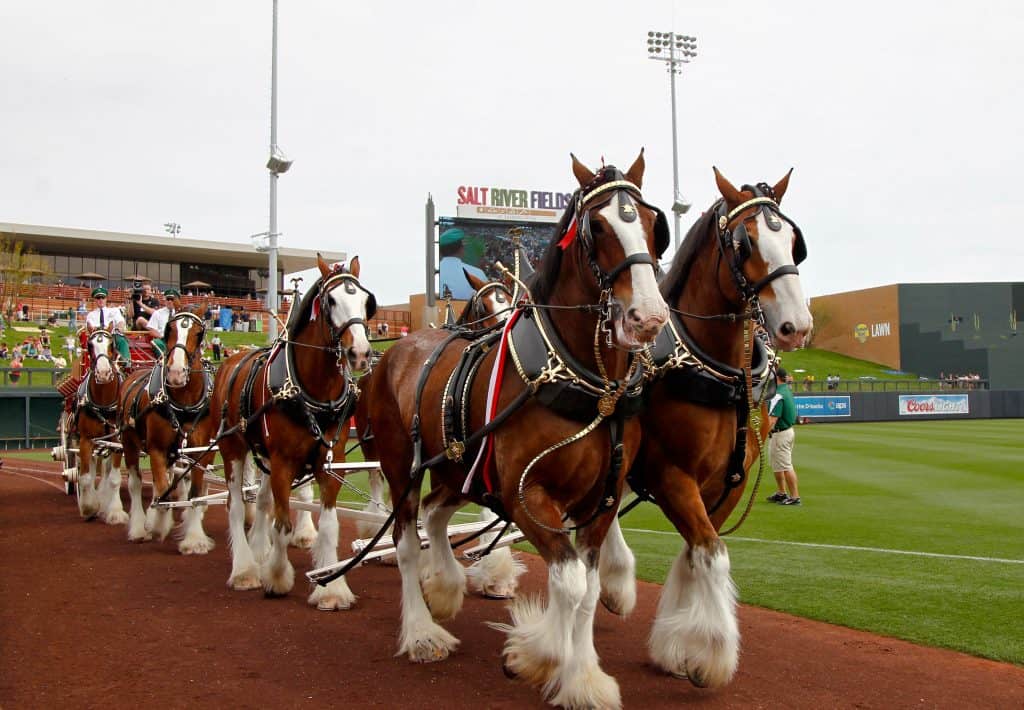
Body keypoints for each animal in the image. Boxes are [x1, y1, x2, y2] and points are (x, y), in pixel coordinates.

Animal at [117, 307, 214, 549]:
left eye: (198, 333)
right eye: (169, 329)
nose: (176, 373)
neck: (184, 402)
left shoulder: (199, 451)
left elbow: (195, 494)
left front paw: (194, 539)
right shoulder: (157, 448)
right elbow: (163, 490)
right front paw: (158, 525)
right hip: (129, 443)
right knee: (135, 483)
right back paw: (139, 527)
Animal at [207, 255, 372, 610]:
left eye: (366, 301)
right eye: (331, 300)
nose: (361, 354)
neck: (312, 392)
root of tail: (231, 360)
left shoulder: (331, 462)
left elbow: (328, 526)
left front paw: (331, 589)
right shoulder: (283, 462)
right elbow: (282, 524)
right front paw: (278, 577)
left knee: (262, 500)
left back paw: (258, 551)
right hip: (233, 449)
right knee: (237, 505)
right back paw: (245, 569)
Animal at [360, 152, 671, 704]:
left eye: (656, 227)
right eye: (597, 226)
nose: (648, 316)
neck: (590, 384)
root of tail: (398, 347)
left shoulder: (601, 501)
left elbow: (588, 588)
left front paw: (582, 677)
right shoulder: (526, 496)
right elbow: (569, 582)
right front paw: (539, 655)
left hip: (459, 468)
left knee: (435, 515)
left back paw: (445, 587)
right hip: (401, 466)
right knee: (405, 540)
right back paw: (421, 632)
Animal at [598, 165, 811, 688]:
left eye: (793, 240)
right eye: (745, 242)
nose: (796, 326)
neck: (719, 372)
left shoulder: (727, 483)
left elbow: (698, 551)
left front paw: (678, 646)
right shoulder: (671, 476)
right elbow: (712, 553)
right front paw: (710, 653)